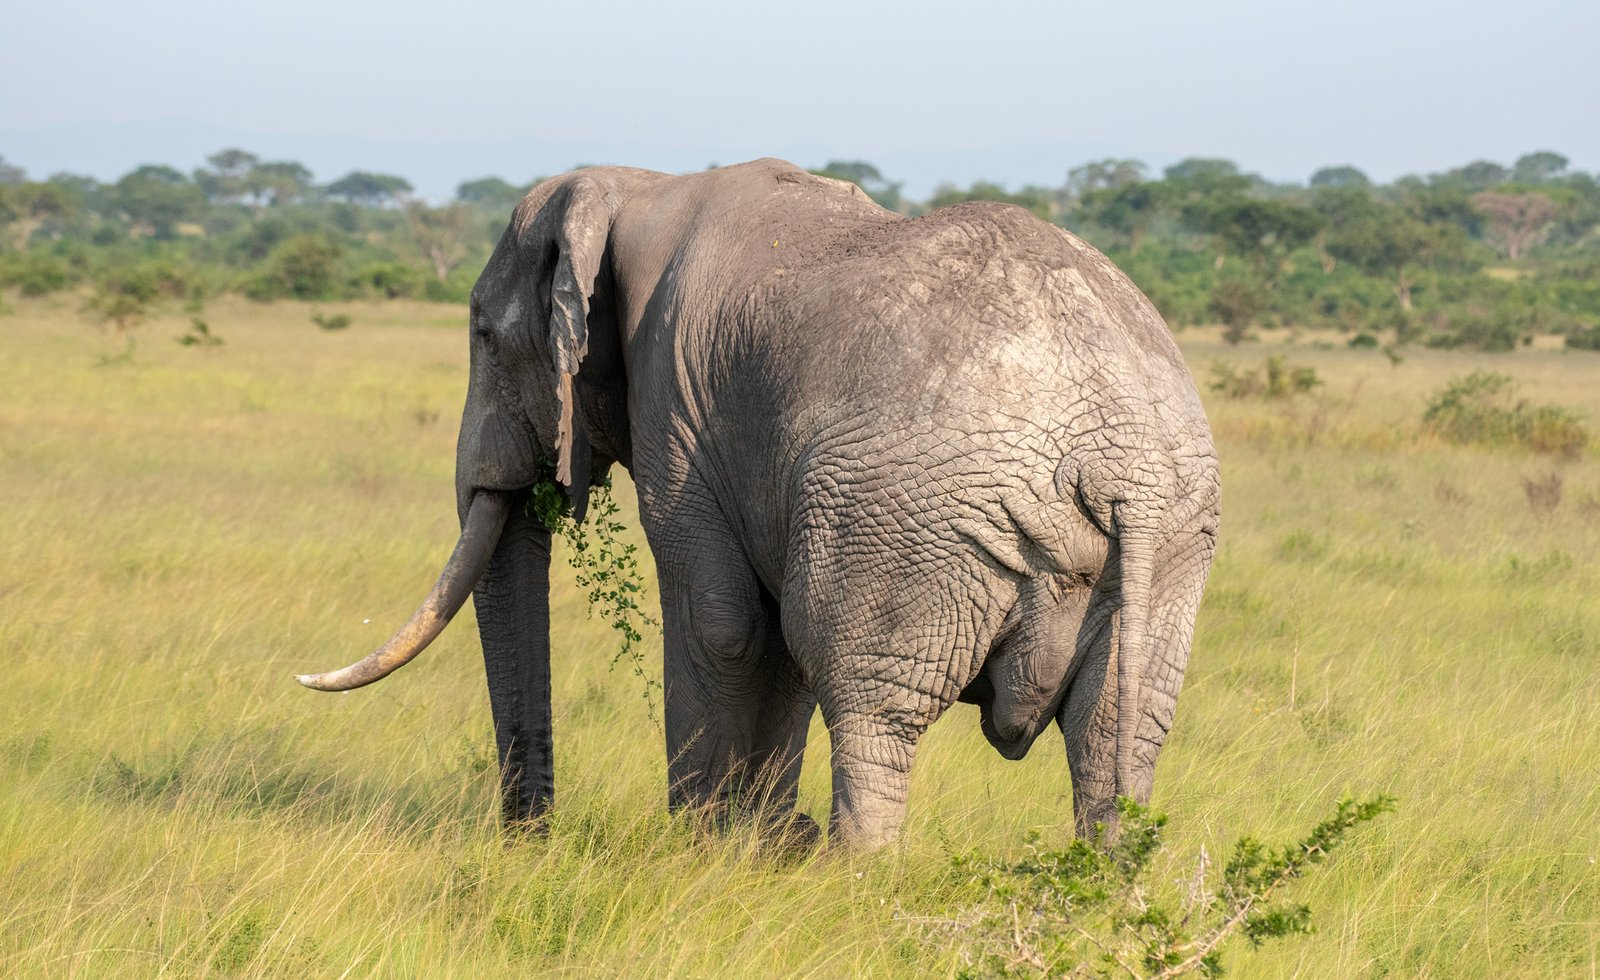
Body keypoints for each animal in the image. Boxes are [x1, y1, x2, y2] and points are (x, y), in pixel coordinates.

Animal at [297, 158, 1220, 848]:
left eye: (484, 336)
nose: (529, 841)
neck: (636, 184)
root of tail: (1114, 456)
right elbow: (775, 647)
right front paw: (758, 847)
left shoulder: (676, 409)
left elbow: (724, 625)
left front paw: (697, 849)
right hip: (1172, 546)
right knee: (1115, 737)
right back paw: (1105, 894)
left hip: (909, 514)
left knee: (871, 707)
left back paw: (853, 881)